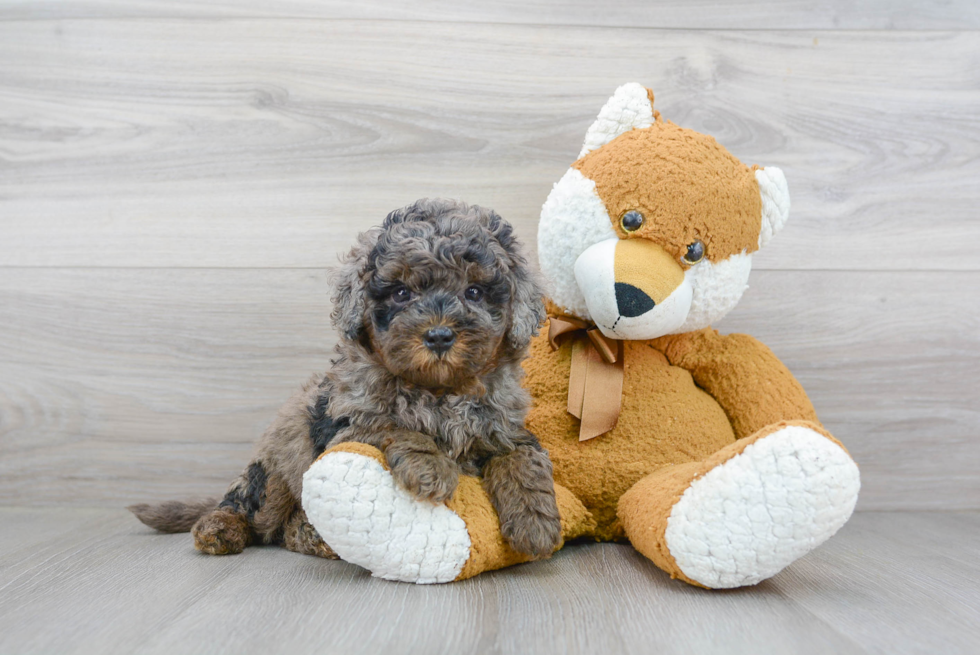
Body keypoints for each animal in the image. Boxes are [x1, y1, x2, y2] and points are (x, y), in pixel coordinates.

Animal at [130, 199, 564, 560]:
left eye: (474, 291)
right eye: (401, 293)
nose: (439, 336)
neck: (440, 389)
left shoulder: (504, 426)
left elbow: (521, 456)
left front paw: (536, 522)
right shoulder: (349, 424)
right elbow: (393, 425)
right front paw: (432, 468)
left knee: (286, 529)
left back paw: (313, 537)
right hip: (274, 470)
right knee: (249, 505)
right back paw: (219, 529)